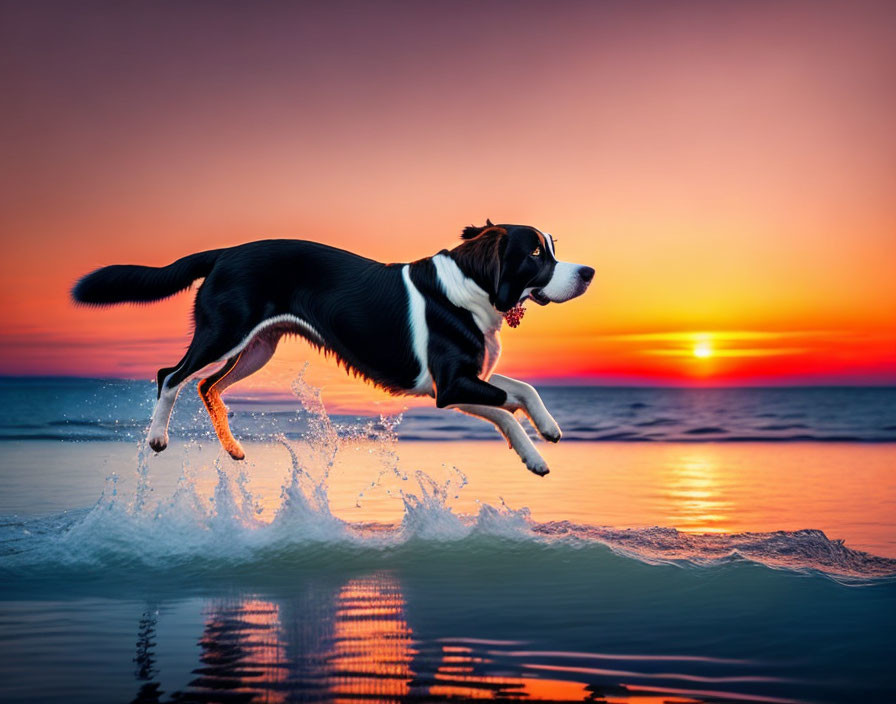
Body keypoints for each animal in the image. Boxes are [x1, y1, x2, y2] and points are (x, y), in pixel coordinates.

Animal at [75, 220, 596, 476]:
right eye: (536, 253)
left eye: (552, 247)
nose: (590, 272)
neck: (472, 285)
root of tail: (224, 252)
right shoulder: (451, 385)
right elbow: (508, 403)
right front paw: (538, 447)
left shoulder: (455, 385)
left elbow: (520, 392)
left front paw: (545, 435)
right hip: (224, 332)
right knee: (171, 374)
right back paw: (157, 438)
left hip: (256, 347)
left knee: (206, 386)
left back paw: (235, 450)